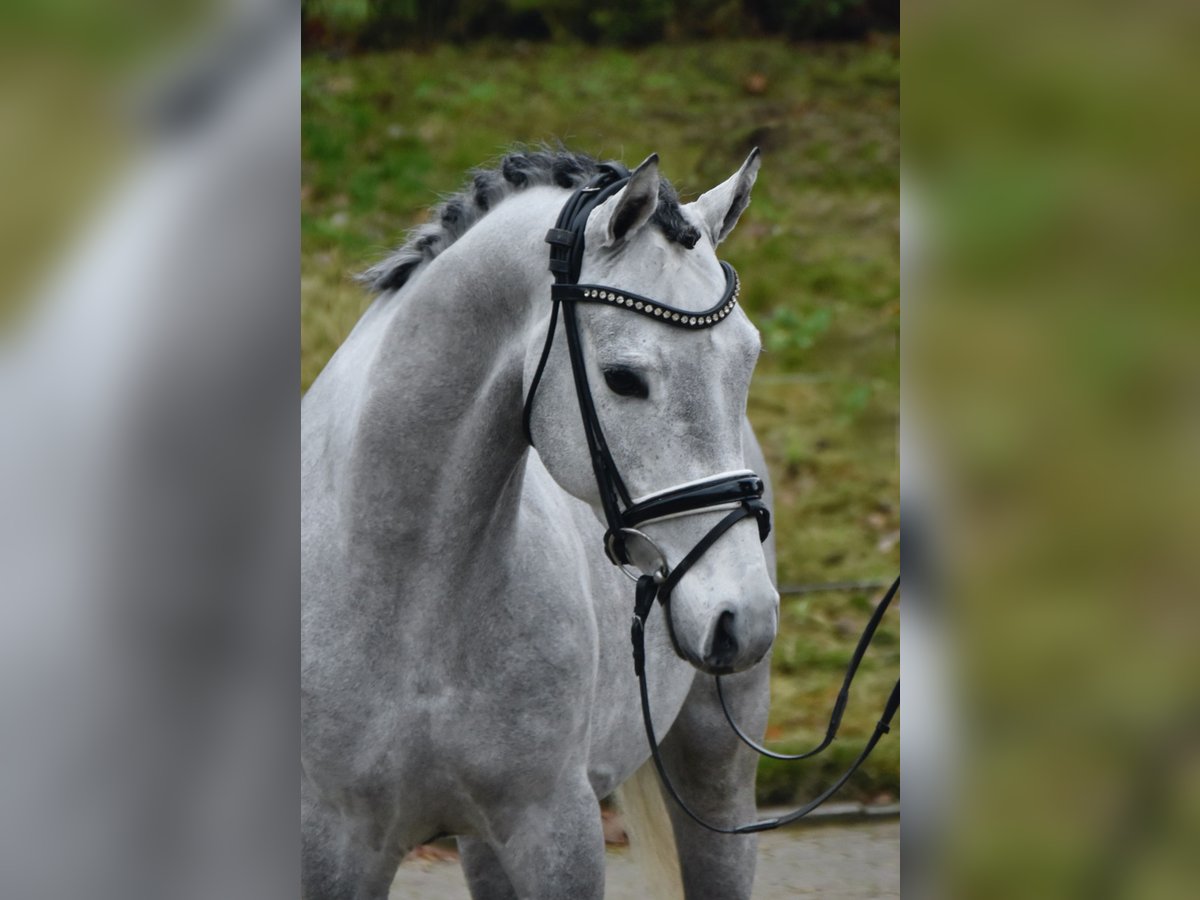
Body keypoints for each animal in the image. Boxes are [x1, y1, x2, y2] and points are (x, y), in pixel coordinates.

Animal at [301, 148, 780, 899]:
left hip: (716, 772)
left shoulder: (555, 830)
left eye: (748, 358)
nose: (745, 617)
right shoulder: (333, 843)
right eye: (623, 379)